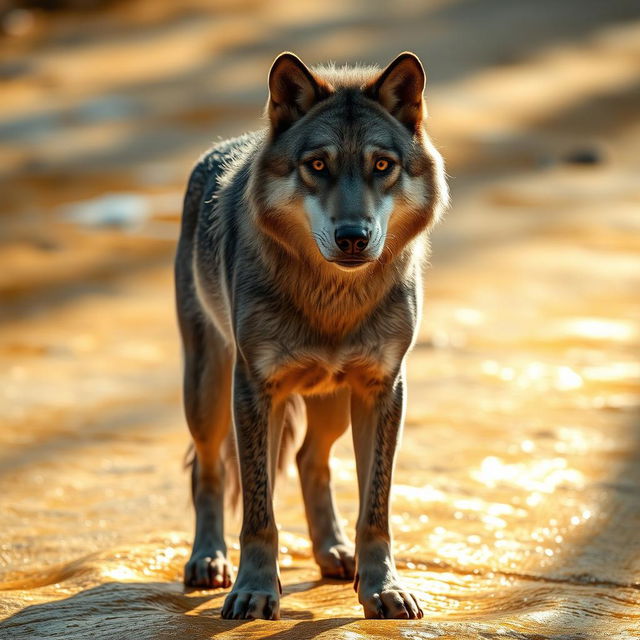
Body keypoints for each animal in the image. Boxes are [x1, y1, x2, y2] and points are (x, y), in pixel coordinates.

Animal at [172, 50, 448, 620]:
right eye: (317, 165)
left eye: (382, 166)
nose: (353, 237)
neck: (334, 302)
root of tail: (218, 150)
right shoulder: (255, 389)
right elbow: (259, 514)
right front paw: (254, 591)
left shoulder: (384, 389)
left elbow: (376, 509)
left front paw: (382, 588)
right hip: (207, 393)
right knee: (208, 470)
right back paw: (208, 560)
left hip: (332, 404)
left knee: (309, 460)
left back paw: (334, 552)